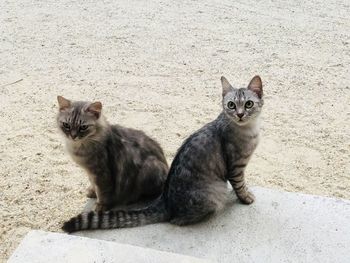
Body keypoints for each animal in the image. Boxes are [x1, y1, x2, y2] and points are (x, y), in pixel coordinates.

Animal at [62, 75, 262, 233]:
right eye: (231, 105)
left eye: (248, 104)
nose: (240, 114)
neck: (249, 129)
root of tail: (165, 199)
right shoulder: (236, 166)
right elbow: (240, 185)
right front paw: (246, 198)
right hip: (215, 192)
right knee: (176, 220)